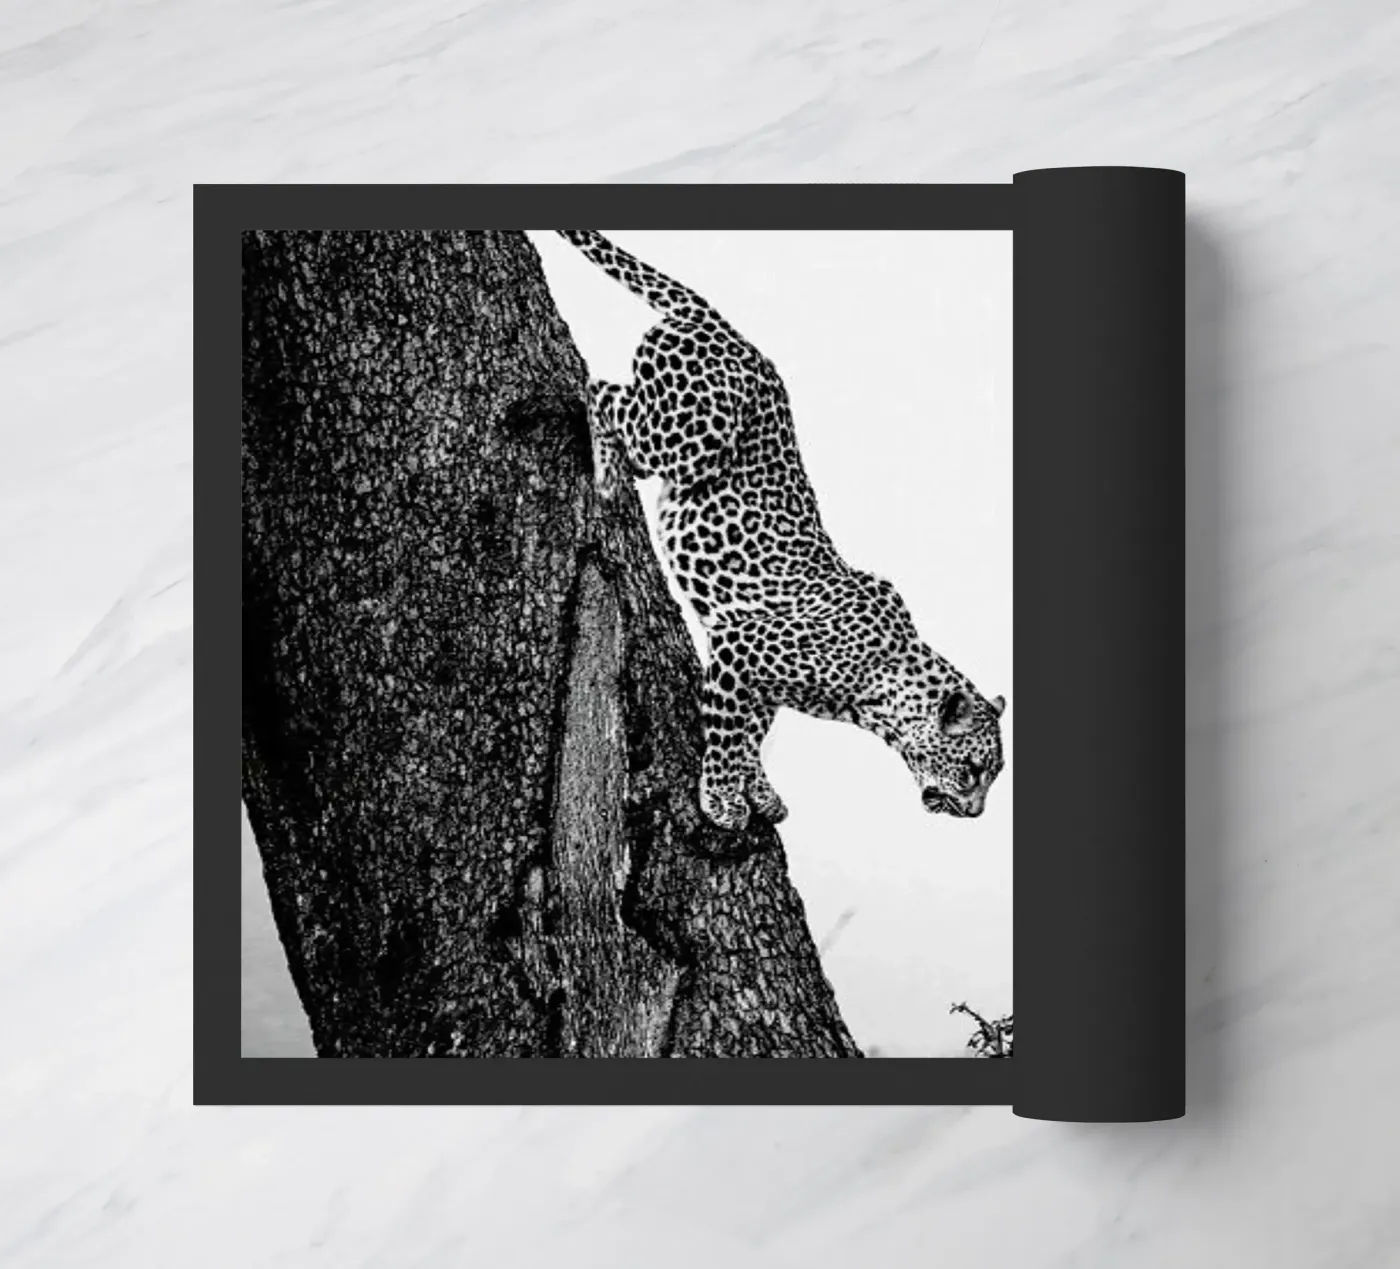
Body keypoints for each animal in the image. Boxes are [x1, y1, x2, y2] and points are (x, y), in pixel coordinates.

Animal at [555, 229, 1006, 832]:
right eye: (976, 770)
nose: (976, 814)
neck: (883, 686)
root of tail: (723, 325)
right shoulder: (740, 647)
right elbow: (725, 735)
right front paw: (722, 800)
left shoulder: (748, 666)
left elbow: (749, 732)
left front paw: (758, 790)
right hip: (691, 436)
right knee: (601, 390)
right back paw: (606, 474)